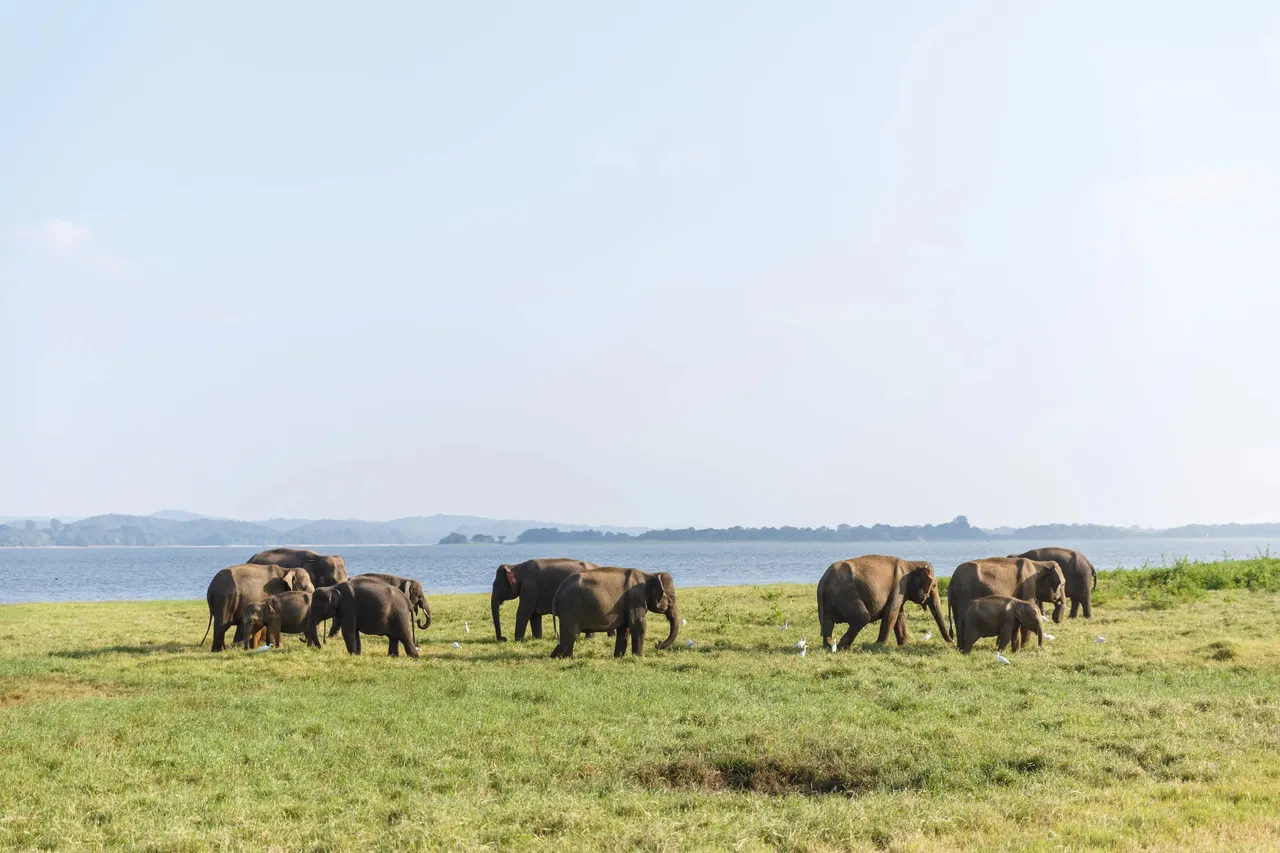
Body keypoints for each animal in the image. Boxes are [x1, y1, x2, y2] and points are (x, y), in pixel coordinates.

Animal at [550, 567, 678, 658]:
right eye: (672, 597)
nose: (658, 644)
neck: (649, 575)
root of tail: (558, 593)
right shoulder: (636, 599)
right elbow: (638, 625)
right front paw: (638, 657)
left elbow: (624, 628)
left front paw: (618, 657)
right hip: (570, 610)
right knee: (571, 635)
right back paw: (558, 657)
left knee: (569, 637)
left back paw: (565, 657)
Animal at [816, 555, 951, 651]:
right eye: (934, 585)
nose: (952, 642)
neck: (911, 563)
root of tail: (824, 579)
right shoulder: (899, 587)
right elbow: (891, 613)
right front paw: (878, 645)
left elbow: (899, 615)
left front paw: (904, 645)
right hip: (846, 593)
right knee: (862, 617)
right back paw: (843, 647)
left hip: (830, 599)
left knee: (828, 622)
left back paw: (829, 646)